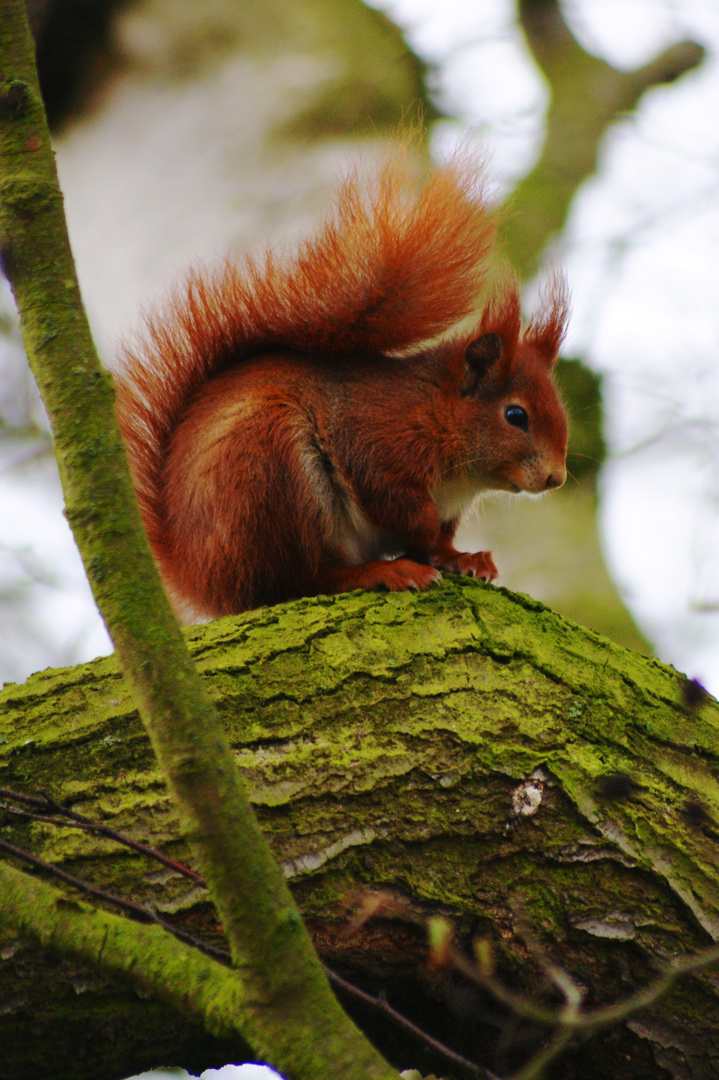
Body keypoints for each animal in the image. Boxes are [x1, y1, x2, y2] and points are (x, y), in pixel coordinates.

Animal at [116, 152, 565, 626]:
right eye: (516, 415)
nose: (556, 477)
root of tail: (198, 575)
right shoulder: (377, 439)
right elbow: (393, 500)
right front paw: (420, 545)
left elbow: (439, 543)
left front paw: (463, 558)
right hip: (272, 476)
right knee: (300, 581)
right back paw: (379, 572)